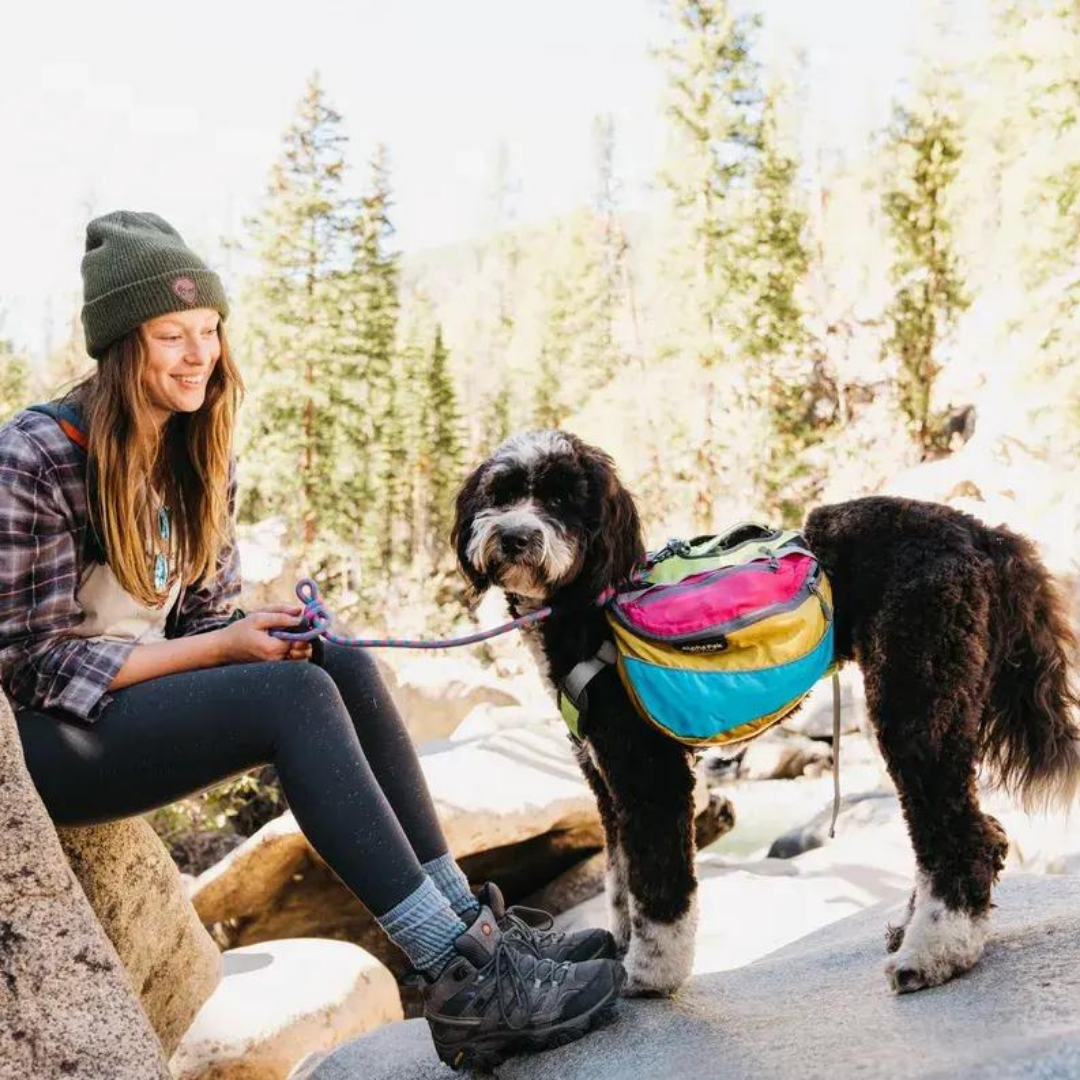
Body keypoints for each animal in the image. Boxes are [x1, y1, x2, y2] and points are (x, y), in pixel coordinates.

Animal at [453, 427, 1080, 993]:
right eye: (501, 494)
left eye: (562, 499)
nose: (514, 536)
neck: (587, 606)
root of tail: (982, 532)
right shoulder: (604, 780)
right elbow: (619, 879)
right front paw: (619, 946)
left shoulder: (649, 773)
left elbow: (658, 885)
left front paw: (649, 973)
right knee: (975, 831)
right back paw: (915, 930)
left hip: (915, 697)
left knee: (960, 835)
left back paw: (931, 956)